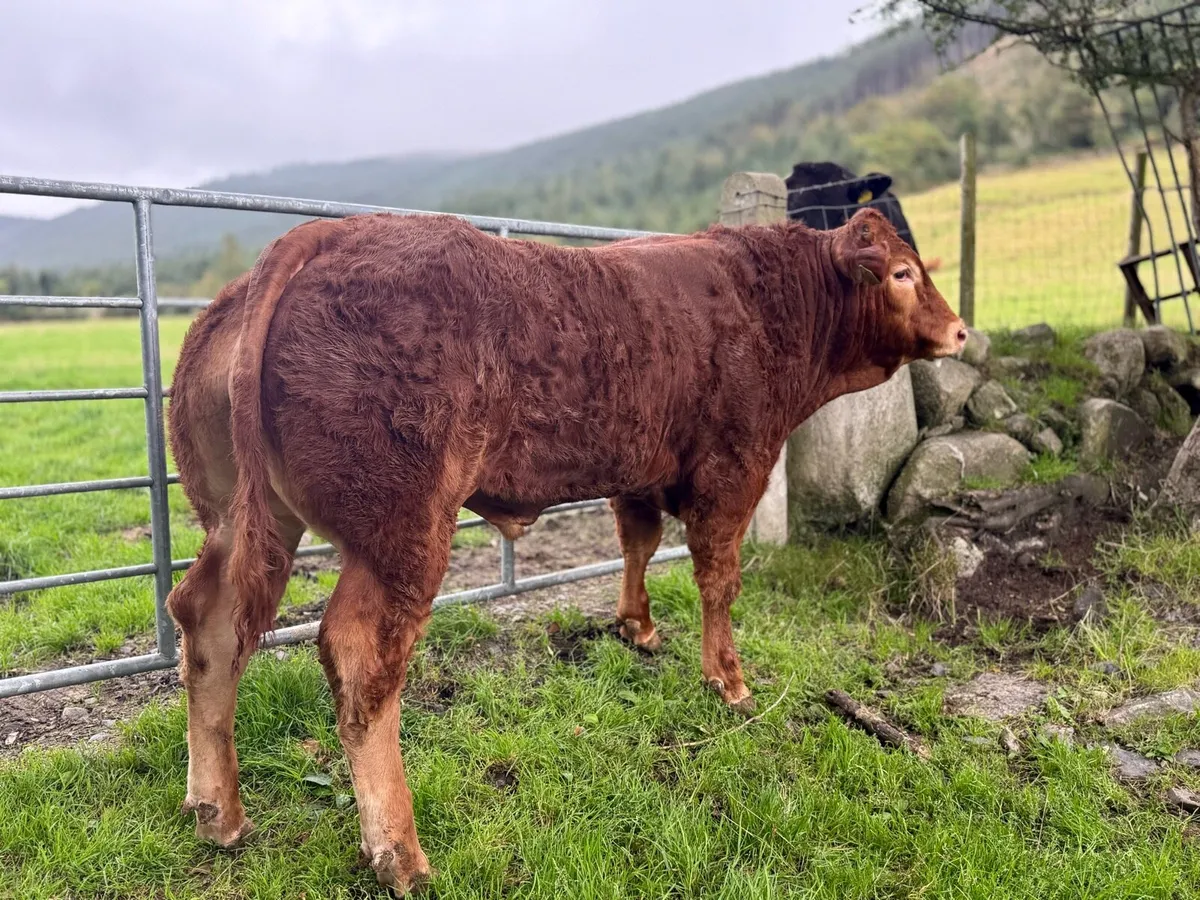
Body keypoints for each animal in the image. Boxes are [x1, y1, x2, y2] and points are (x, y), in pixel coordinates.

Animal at [165, 206, 965, 893]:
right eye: (902, 272)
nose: (960, 332)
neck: (771, 304)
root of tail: (317, 238)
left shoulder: (639, 473)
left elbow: (638, 542)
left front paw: (638, 627)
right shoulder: (734, 470)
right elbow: (718, 577)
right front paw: (729, 681)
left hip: (249, 517)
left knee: (207, 621)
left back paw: (218, 812)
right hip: (402, 535)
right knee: (362, 658)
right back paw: (399, 852)